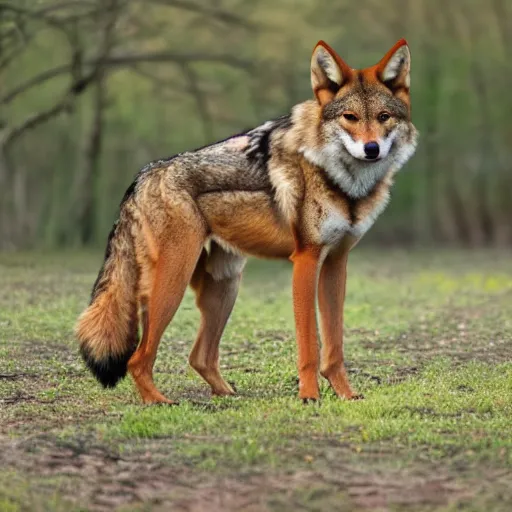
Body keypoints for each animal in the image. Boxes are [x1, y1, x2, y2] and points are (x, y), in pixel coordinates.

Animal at [77, 39, 420, 404]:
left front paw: (345, 395)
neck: (343, 182)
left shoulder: (336, 263)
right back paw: (159, 402)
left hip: (225, 286)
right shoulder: (306, 260)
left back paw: (227, 395)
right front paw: (309, 397)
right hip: (173, 284)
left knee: (199, 356)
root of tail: (144, 175)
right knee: (138, 358)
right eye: (350, 117)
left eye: (383, 117)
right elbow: (310, 345)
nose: (372, 149)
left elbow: (335, 346)